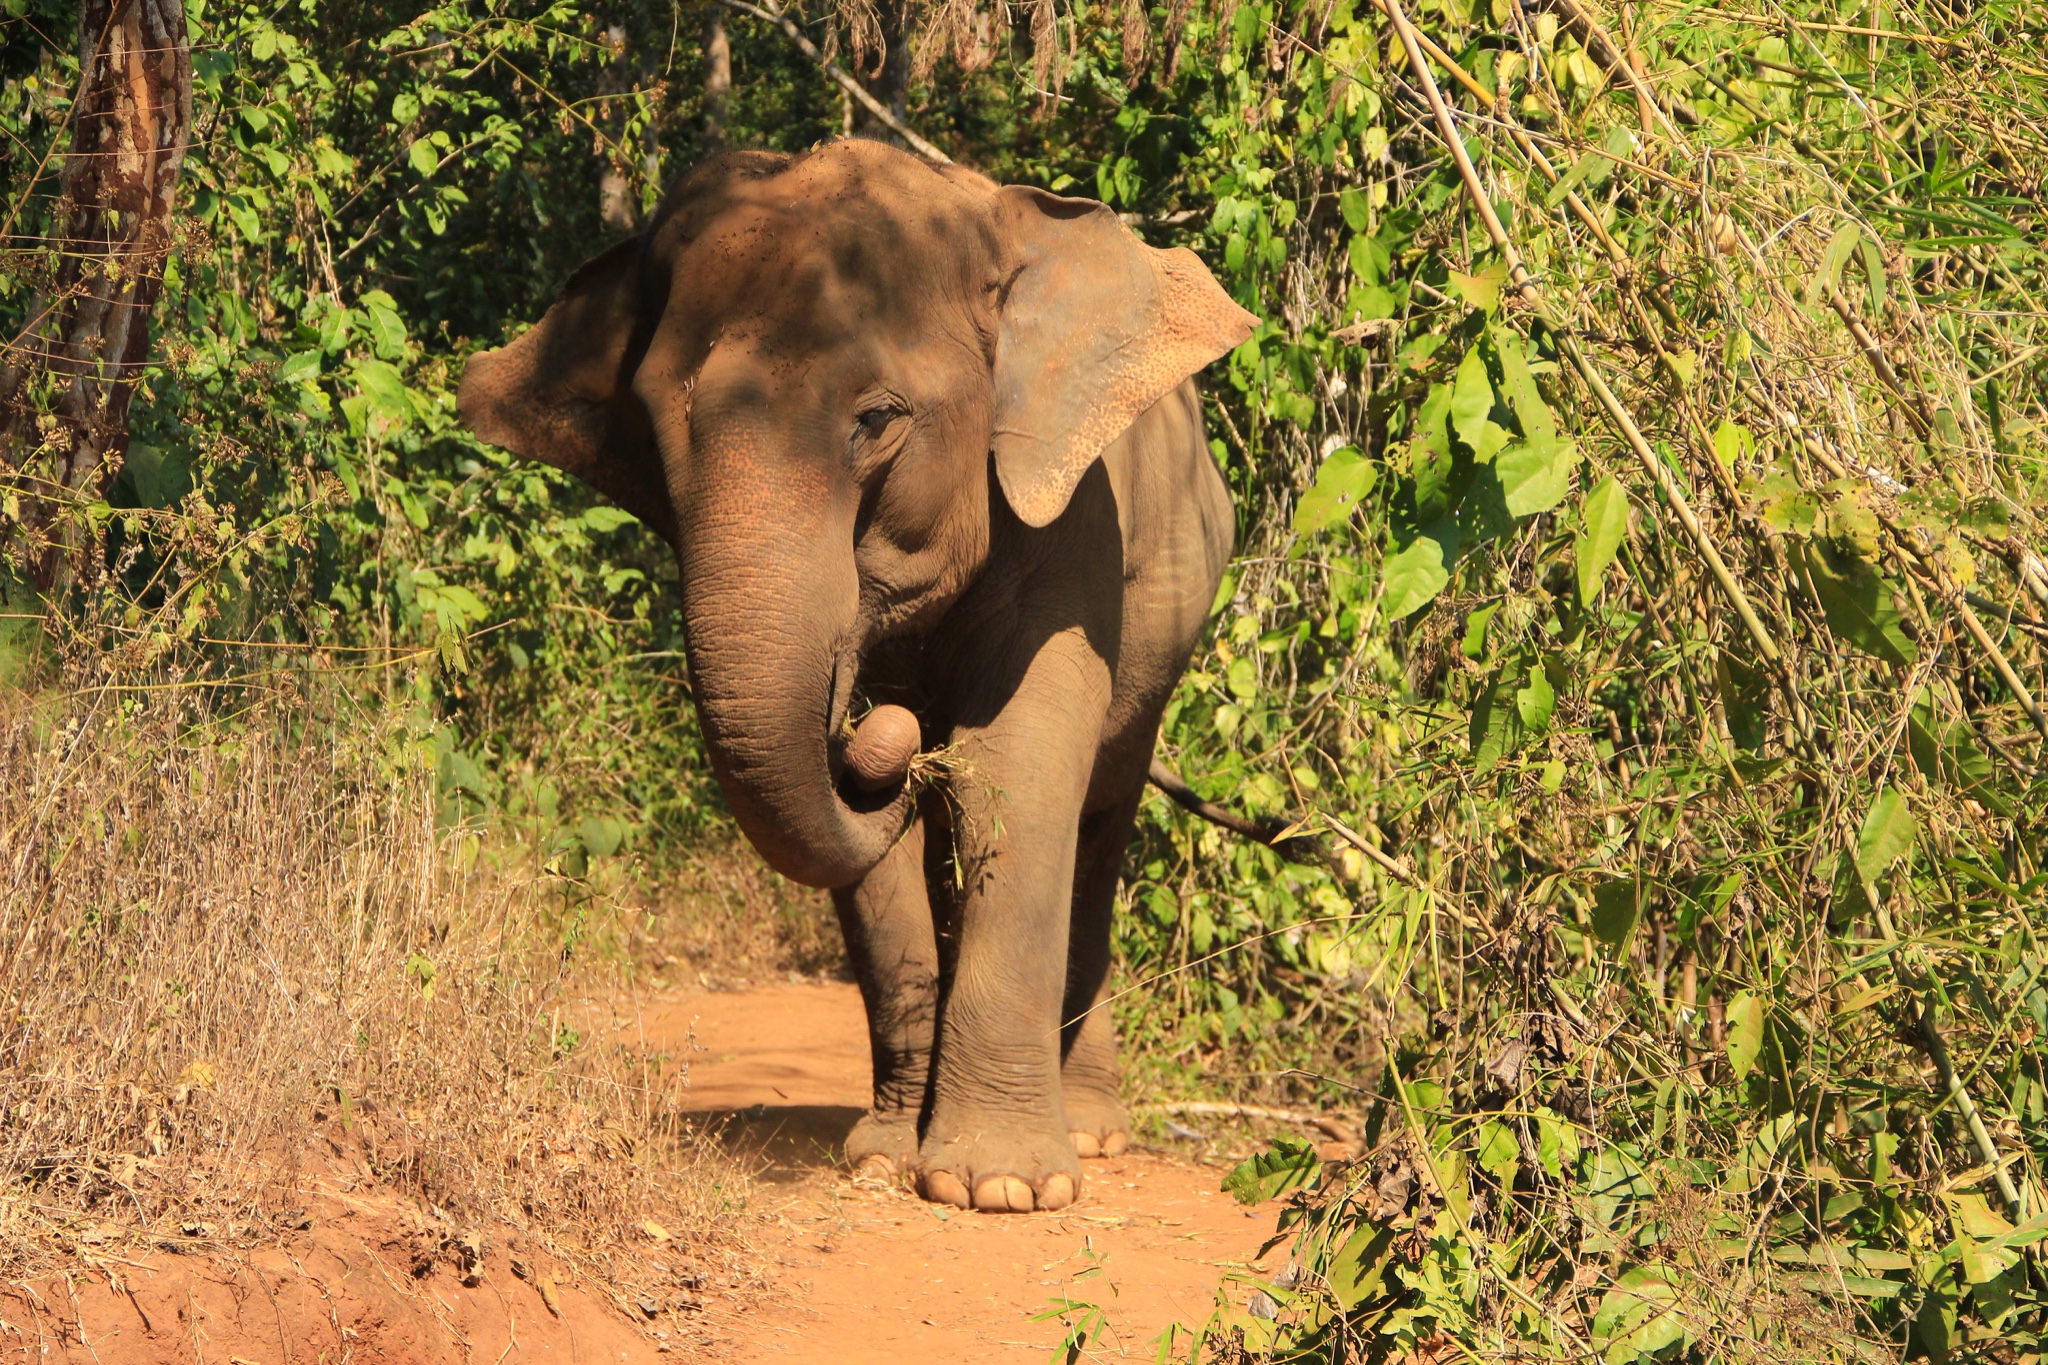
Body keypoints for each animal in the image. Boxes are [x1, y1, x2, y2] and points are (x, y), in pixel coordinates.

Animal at [462, 136, 1253, 1203]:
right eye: (655, 428)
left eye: (878, 418)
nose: (877, 723)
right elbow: (895, 835)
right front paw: (886, 1157)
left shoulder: (1072, 513)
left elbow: (1013, 761)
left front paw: (1000, 1188)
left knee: (1101, 812)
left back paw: (1090, 1132)